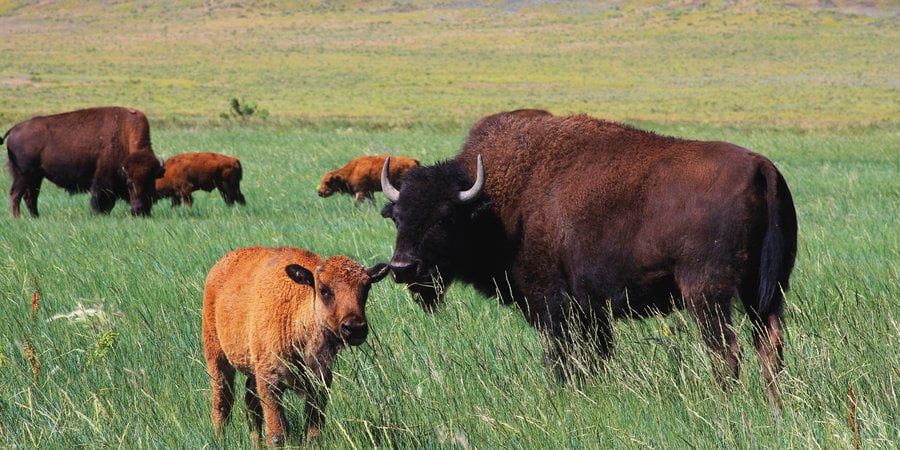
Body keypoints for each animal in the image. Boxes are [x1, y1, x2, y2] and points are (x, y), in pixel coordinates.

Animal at [2, 106, 164, 217]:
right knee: (15, 194)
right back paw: (18, 218)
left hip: (36, 176)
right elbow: (101, 200)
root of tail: (15, 128)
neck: (124, 134)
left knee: (30, 196)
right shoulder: (103, 180)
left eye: (151, 181)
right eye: (130, 183)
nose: (140, 211)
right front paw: (98, 214)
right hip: (23, 175)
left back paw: (35, 217)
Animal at [202, 246, 389, 446]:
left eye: (366, 287)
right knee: (222, 405)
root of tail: (221, 264)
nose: (354, 328)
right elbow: (277, 434)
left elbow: (313, 431)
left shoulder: (319, 382)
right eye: (323, 289)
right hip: (217, 358)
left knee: (251, 407)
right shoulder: (270, 382)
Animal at [380, 111, 797, 406]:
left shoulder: (552, 305)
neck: (499, 204)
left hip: (707, 295)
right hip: (765, 292)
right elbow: (598, 355)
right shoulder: (593, 310)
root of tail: (762, 167)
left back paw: (724, 403)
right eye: (397, 216)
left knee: (727, 350)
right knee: (770, 345)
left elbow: (561, 357)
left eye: (445, 217)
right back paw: (774, 404)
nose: (402, 268)